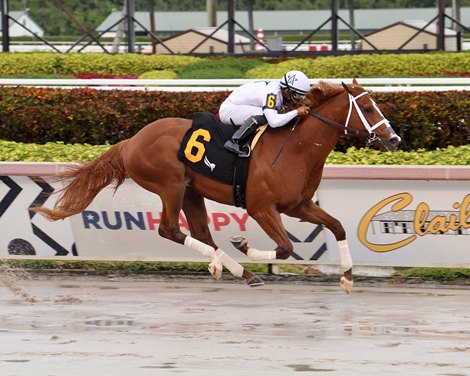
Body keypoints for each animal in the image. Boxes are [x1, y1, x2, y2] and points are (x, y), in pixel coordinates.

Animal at [33, 79, 400, 294]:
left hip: (190, 190)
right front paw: (243, 244)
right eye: (368, 107)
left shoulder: (299, 205)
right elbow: (283, 248)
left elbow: (337, 227)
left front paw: (348, 277)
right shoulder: (262, 208)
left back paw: (231, 269)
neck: (294, 148)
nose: (394, 139)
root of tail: (131, 141)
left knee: (201, 233)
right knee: (170, 229)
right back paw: (236, 268)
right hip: (170, 185)